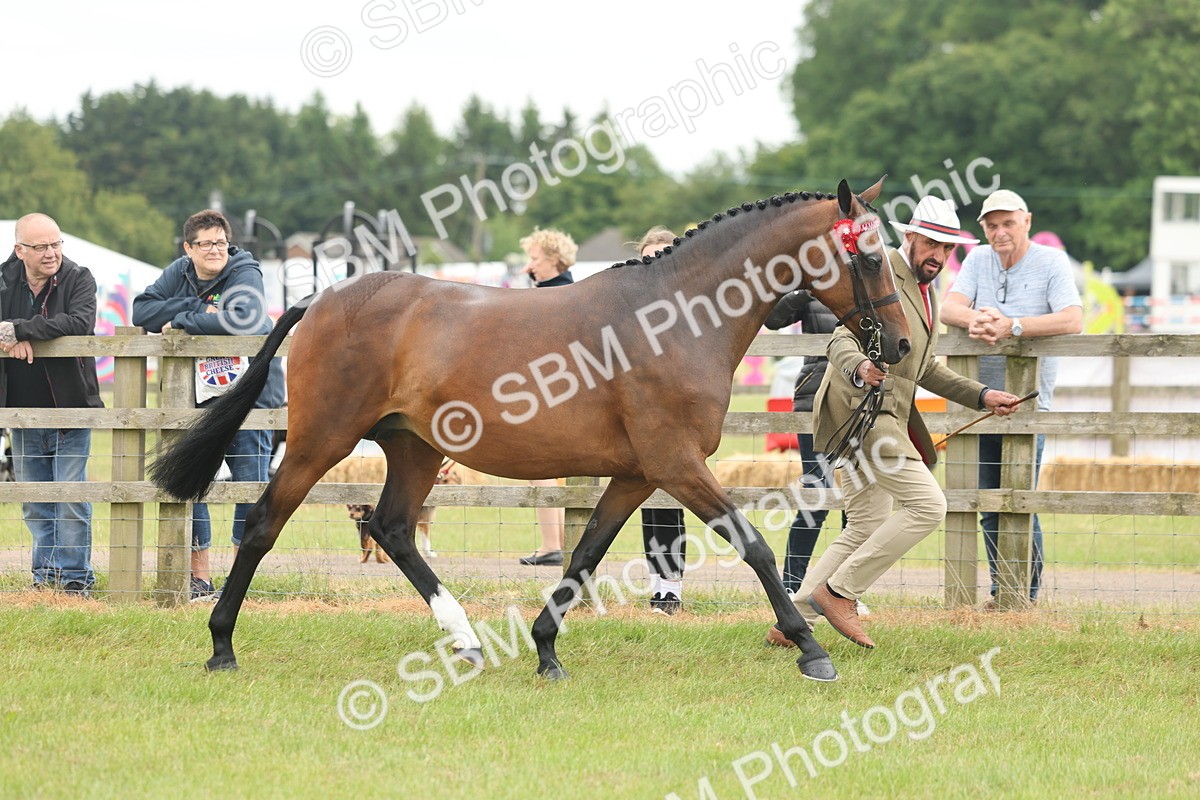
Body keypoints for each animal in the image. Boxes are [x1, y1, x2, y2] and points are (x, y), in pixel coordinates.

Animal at [151, 177, 910, 683]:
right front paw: (810, 646)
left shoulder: (638, 473)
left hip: (414, 447)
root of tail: (320, 298)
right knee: (264, 524)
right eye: (871, 257)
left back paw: (463, 639)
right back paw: (221, 645)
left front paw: (546, 648)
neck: (676, 317)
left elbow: (585, 554)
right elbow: (751, 545)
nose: (899, 346)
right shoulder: (675, 464)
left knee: (394, 529)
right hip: (321, 440)